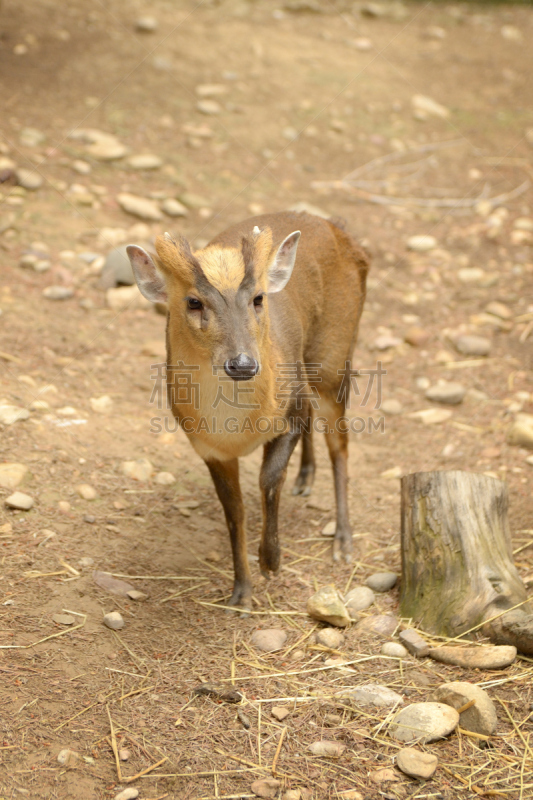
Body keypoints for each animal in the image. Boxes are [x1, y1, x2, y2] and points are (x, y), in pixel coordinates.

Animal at [126, 209, 368, 608]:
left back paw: (344, 541)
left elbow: (269, 480)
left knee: (341, 444)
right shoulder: (207, 447)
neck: (237, 430)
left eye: (257, 298)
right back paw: (305, 478)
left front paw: (271, 561)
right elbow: (233, 511)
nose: (242, 364)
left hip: (333, 357)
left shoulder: (290, 413)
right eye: (193, 302)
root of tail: (341, 232)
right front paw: (241, 592)